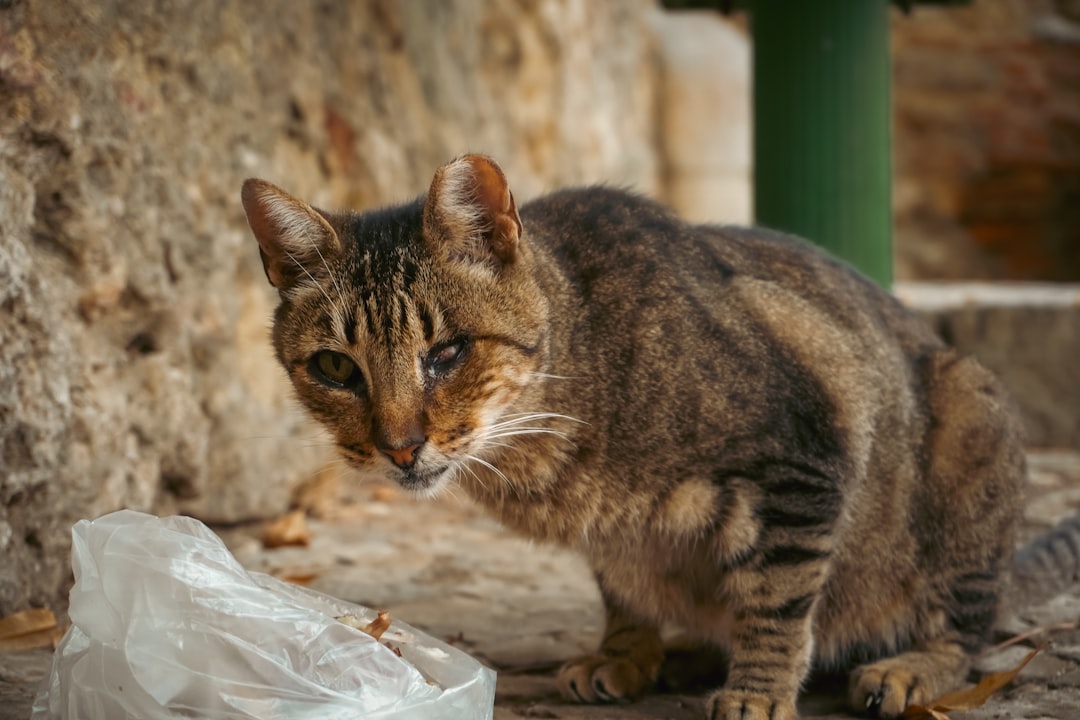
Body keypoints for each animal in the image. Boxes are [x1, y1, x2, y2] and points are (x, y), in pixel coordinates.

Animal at [240, 155, 1075, 716]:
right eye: (335, 367)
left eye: (447, 352)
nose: (400, 446)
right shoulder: (617, 537)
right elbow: (624, 595)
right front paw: (629, 656)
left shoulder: (803, 455)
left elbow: (778, 603)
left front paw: (758, 690)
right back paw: (688, 652)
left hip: (972, 422)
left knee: (969, 632)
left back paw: (906, 669)